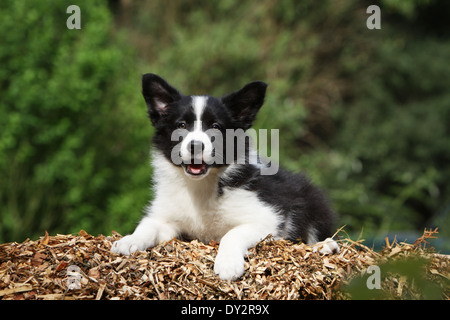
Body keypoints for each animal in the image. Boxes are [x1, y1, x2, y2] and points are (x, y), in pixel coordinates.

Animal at [111, 74, 338, 280]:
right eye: (181, 125)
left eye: (216, 127)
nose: (195, 146)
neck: (201, 186)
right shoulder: (167, 218)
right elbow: (148, 225)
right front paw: (129, 240)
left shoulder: (267, 219)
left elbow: (232, 233)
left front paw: (228, 265)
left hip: (314, 204)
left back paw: (326, 246)